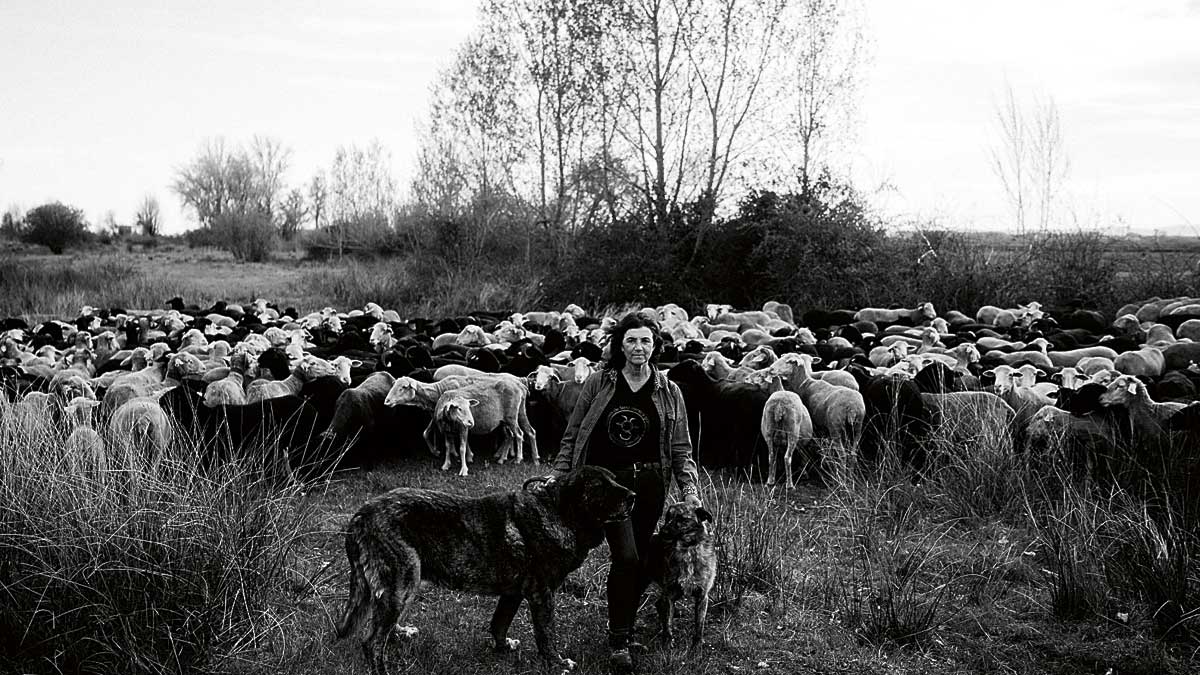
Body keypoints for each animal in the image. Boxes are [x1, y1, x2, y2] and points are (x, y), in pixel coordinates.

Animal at [336, 466, 638, 672]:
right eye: (599, 485)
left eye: (614, 479)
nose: (634, 495)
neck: (559, 512)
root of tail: (361, 516)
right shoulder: (542, 595)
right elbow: (545, 634)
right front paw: (557, 663)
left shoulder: (514, 593)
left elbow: (499, 623)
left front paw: (503, 648)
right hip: (403, 580)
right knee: (372, 641)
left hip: (406, 582)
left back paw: (399, 632)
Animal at [643, 499, 715, 648]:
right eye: (667, 517)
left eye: (681, 518)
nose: (662, 532)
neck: (686, 549)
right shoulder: (669, 594)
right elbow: (668, 624)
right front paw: (667, 646)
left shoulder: (702, 596)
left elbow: (699, 625)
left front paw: (697, 646)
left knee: (659, 603)